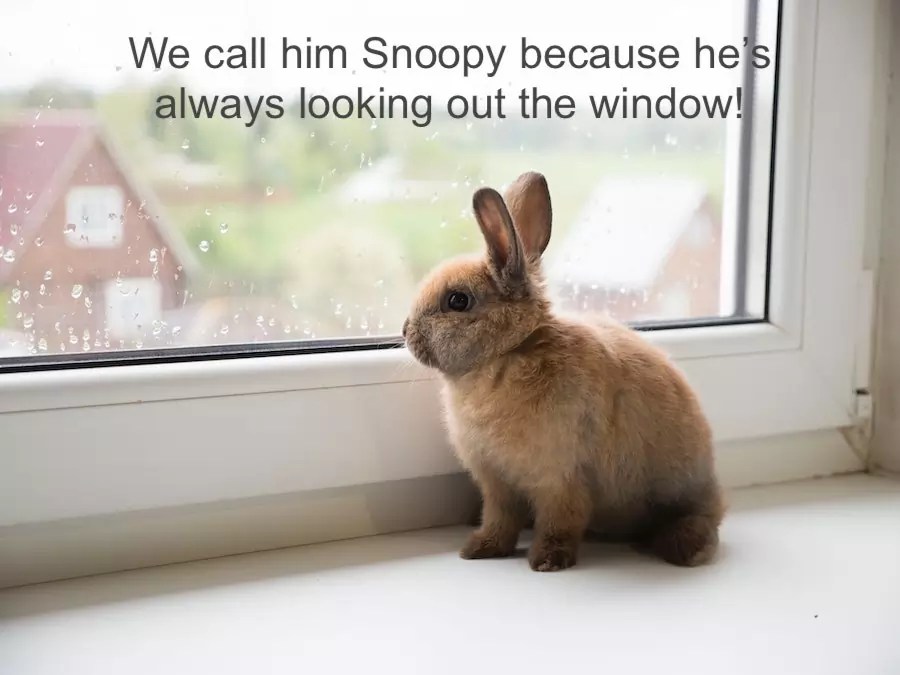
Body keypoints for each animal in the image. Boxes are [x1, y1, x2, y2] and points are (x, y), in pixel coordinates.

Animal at [403, 171, 724, 572]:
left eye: (458, 300)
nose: (405, 331)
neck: (509, 352)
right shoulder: (497, 484)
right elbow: (499, 519)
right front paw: (479, 548)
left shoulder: (560, 478)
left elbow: (561, 520)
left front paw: (547, 560)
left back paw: (685, 547)